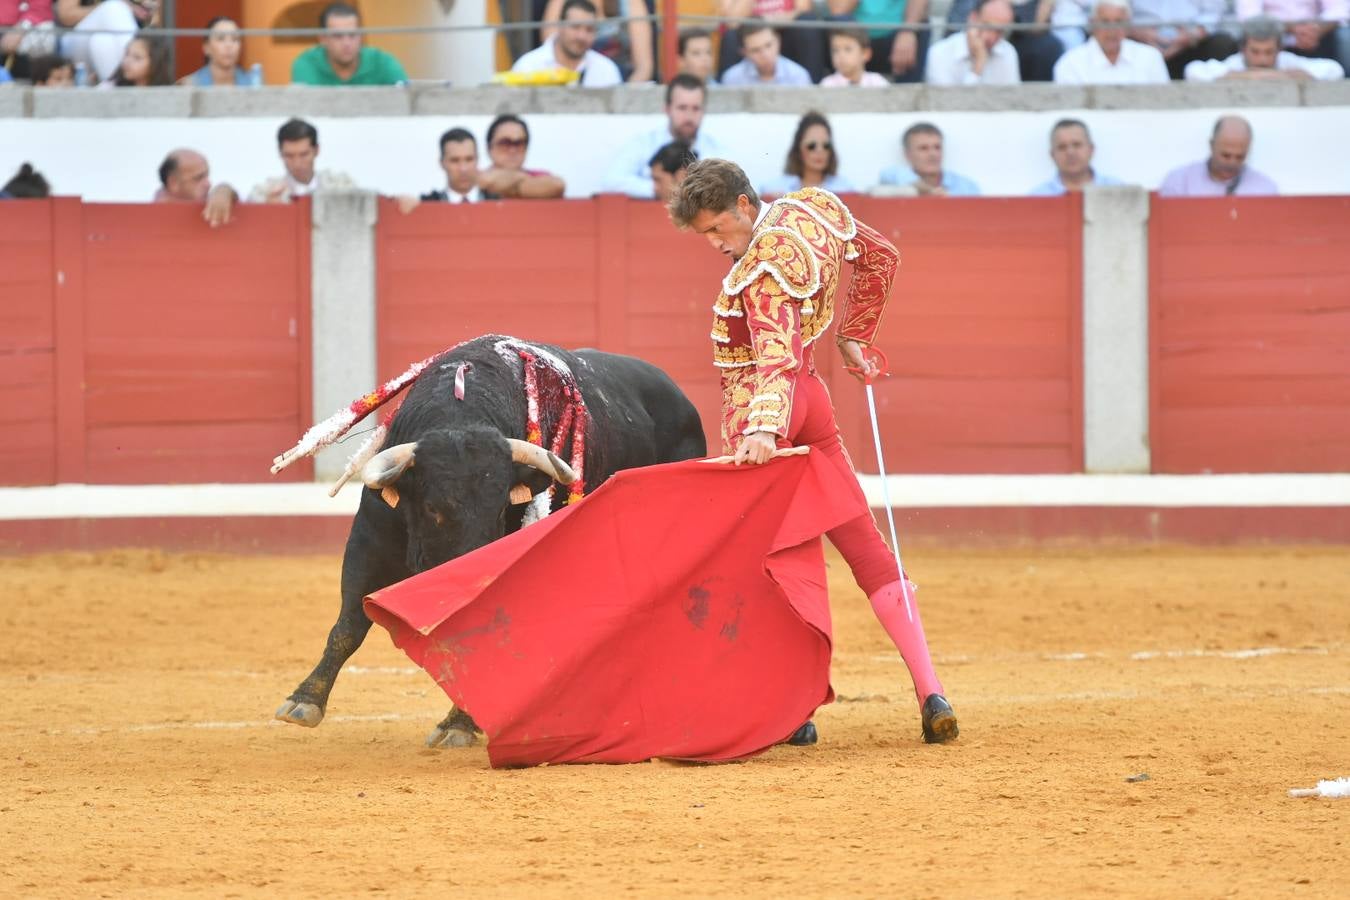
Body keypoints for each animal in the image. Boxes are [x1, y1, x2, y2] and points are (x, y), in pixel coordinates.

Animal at [274, 337, 707, 744]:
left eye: (501, 508)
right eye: (432, 507)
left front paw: (459, 725)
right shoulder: (370, 539)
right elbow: (348, 624)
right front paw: (303, 701)